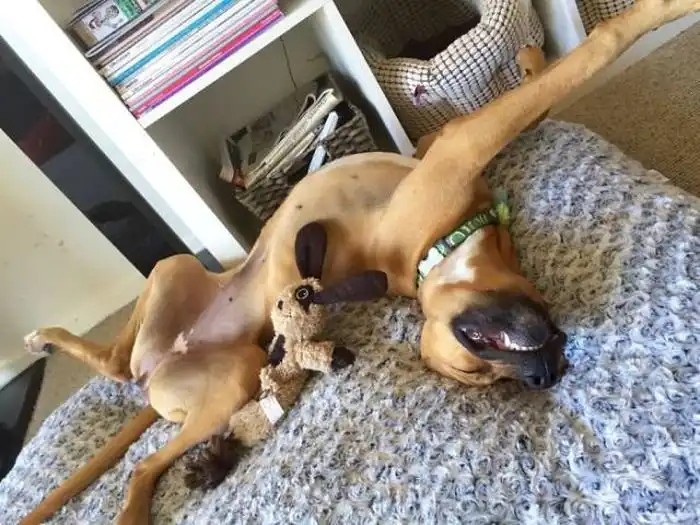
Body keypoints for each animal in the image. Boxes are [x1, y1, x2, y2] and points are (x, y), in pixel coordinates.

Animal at [20, 2, 700, 523]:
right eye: (478, 373)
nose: (548, 376)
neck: (440, 250)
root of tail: (163, 362)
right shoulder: (461, 145)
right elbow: (584, 58)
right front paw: (659, 13)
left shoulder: (444, 141)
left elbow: (538, 86)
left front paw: (531, 55)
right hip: (220, 365)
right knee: (138, 453)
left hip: (177, 279)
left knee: (117, 366)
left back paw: (56, 343)